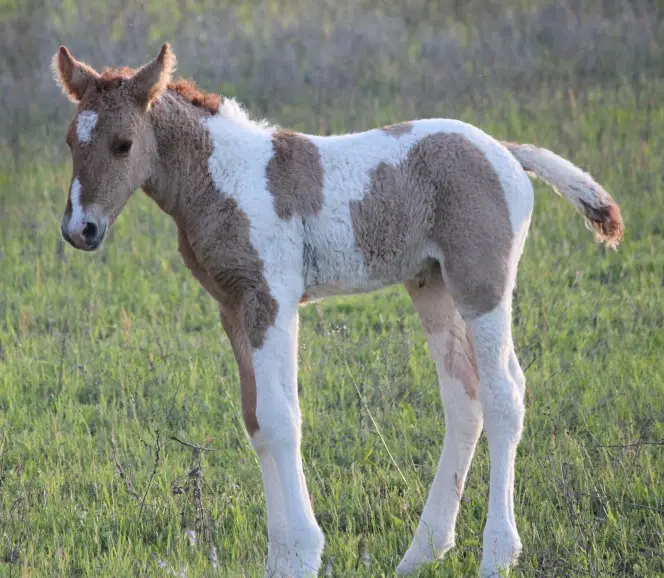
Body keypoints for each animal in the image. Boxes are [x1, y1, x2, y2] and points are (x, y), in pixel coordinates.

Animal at [52, 46, 624, 576]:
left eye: (123, 145)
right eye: (71, 142)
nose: (81, 229)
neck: (225, 179)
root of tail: (505, 150)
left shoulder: (272, 300)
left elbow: (282, 419)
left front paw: (304, 552)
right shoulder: (233, 307)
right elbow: (256, 422)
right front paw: (280, 559)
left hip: (481, 283)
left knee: (506, 393)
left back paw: (498, 554)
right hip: (431, 284)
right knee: (465, 396)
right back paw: (423, 551)